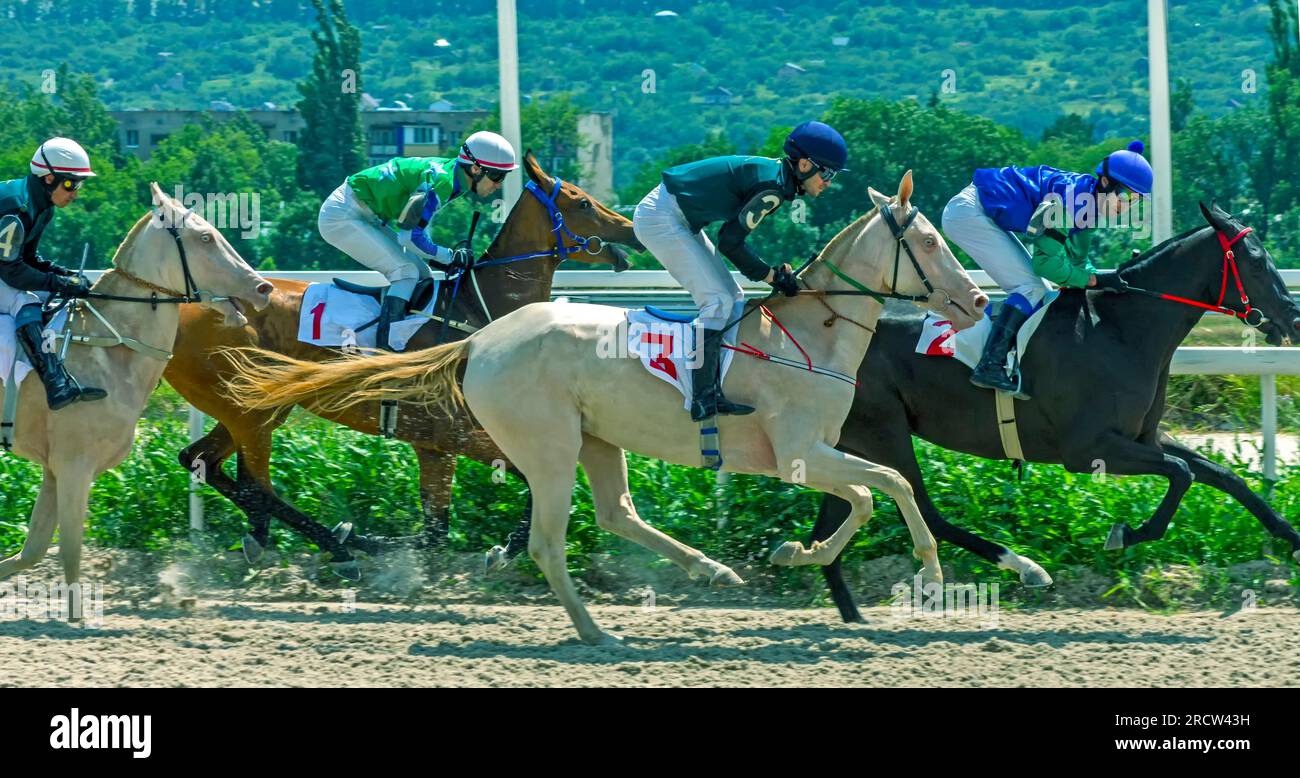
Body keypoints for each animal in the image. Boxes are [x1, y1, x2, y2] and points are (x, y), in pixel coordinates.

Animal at [0, 184, 274, 598]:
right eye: (206, 237)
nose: (263, 287)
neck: (109, 347)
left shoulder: (54, 470)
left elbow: (31, 552)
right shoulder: (74, 466)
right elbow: (71, 557)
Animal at [226, 174, 982, 650]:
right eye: (929, 244)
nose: (976, 301)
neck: (811, 334)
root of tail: (477, 341)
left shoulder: (816, 452)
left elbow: (880, 490)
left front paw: (804, 553)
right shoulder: (800, 454)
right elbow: (881, 488)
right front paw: (919, 573)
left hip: (596, 439)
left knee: (618, 514)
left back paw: (710, 572)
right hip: (549, 448)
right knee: (546, 541)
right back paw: (595, 629)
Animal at [811, 204, 1300, 624]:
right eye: (1257, 262)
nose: (1294, 318)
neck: (1121, 330)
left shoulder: (1143, 438)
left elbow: (1223, 476)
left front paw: (1291, 539)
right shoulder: (1087, 450)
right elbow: (1182, 474)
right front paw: (1124, 534)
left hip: (845, 440)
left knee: (838, 513)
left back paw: (848, 611)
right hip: (885, 430)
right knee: (924, 509)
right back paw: (1026, 567)